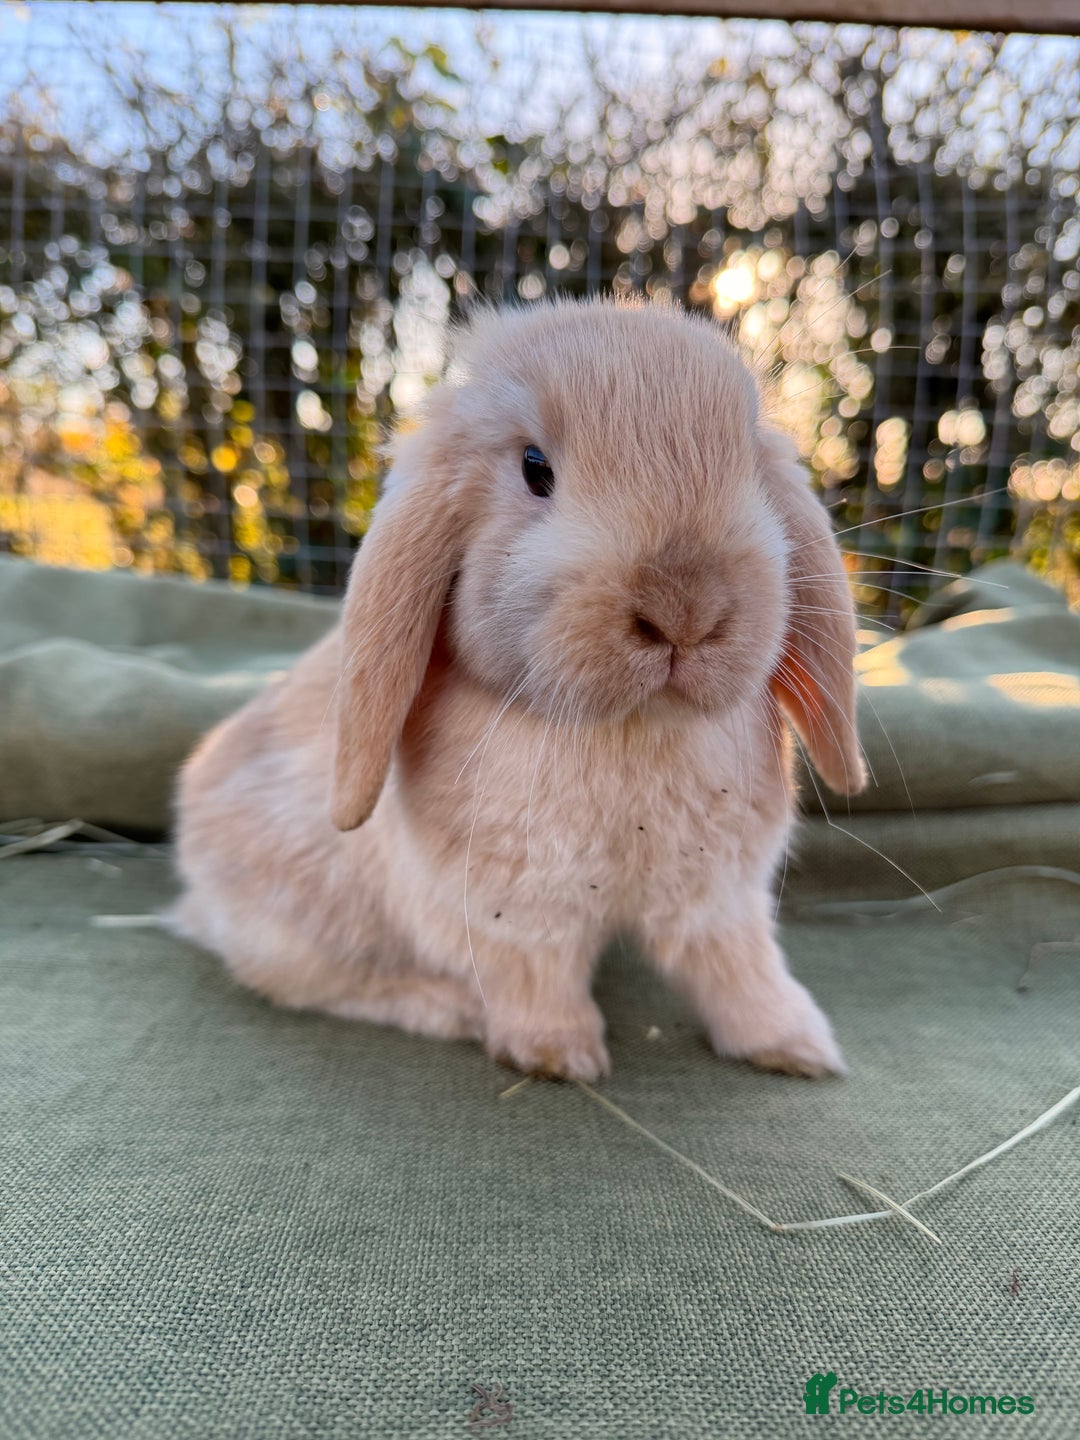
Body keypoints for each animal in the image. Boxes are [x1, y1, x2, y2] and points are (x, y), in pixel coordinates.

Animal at [170, 297, 866, 1083]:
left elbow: (739, 968)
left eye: (748, 461)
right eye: (536, 469)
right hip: (302, 924)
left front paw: (798, 1046)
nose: (685, 610)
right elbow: (537, 977)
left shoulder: (718, 899)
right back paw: (447, 1009)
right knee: (324, 983)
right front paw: (561, 1056)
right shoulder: (514, 914)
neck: (632, 727)